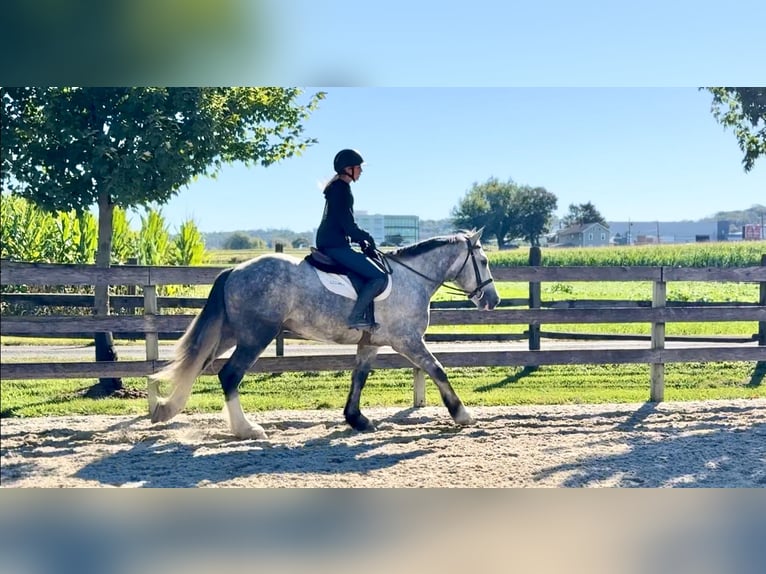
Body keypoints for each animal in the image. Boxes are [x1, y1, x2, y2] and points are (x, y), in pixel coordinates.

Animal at [148, 228, 501, 439]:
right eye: (483, 261)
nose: (493, 300)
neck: (411, 279)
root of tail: (235, 270)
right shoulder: (408, 341)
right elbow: (437, 369)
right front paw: (462, 414)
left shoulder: (371, 343)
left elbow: (359, 377)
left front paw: (357, 419)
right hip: (255, 336)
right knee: (229, 376)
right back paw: (247, 429)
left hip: (232, 333)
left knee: (199, 363)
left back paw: (166, 409)